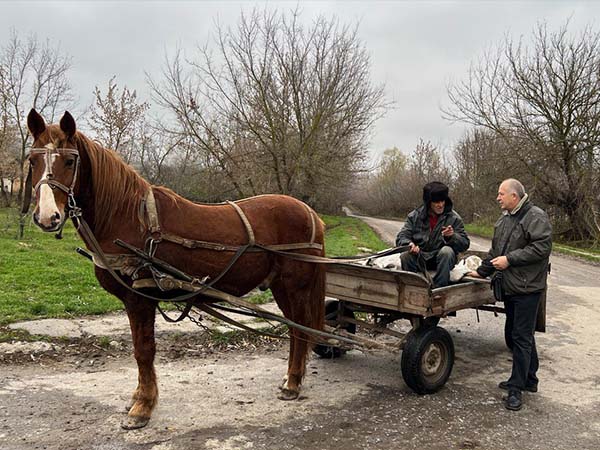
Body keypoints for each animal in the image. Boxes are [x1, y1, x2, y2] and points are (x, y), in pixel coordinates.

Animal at [25, 109, 326, 428]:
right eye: (32, 160)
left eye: (69, 161)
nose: (47, 217)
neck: (129, 218)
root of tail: (310, 213)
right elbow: (140, 350)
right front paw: (139, 397)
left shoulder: (139, 299)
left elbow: (144, 350)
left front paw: (143, 406)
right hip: (281, 286)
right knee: (295, 328)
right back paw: (291, 379)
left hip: (294, 286)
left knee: (299, 330)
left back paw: (292, 383)